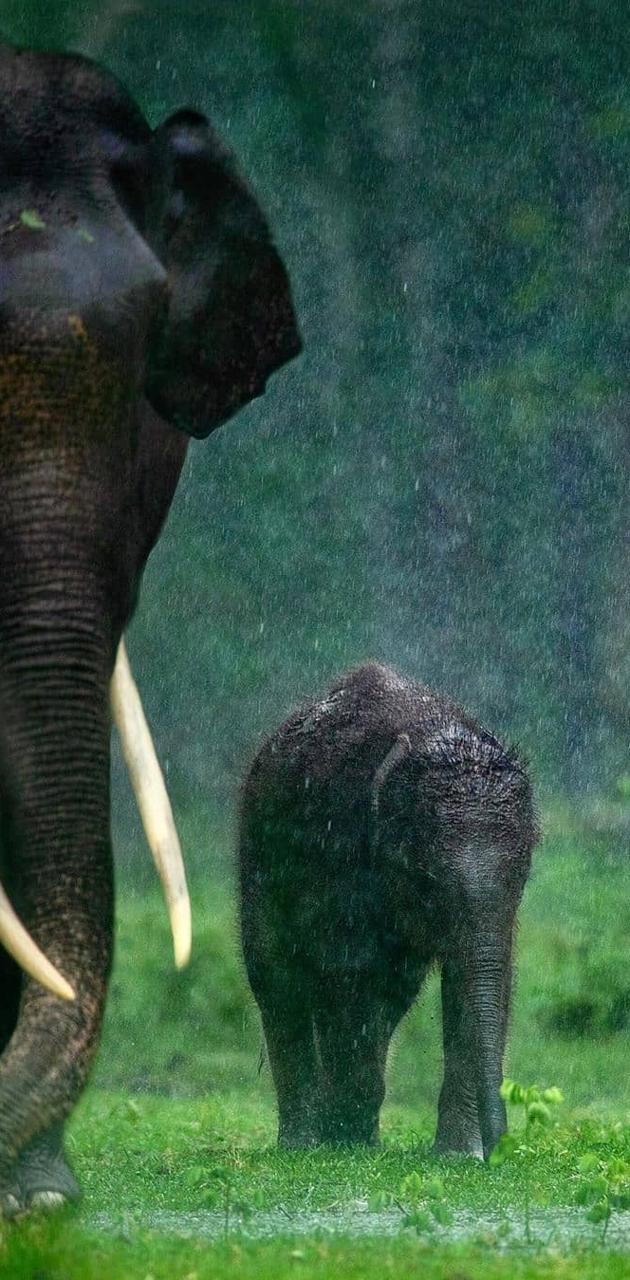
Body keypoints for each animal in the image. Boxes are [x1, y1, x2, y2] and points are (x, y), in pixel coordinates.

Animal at [239, 662, 537, 1158]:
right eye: (427, 879)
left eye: (523, 874)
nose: (502, 1147)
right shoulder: (341, 851)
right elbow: (351, 974)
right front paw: (346, 1136)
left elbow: (478, 979)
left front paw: (458, 1156)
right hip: (256, 858)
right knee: (280, 980)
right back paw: (310, 1141)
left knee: (393, 992)